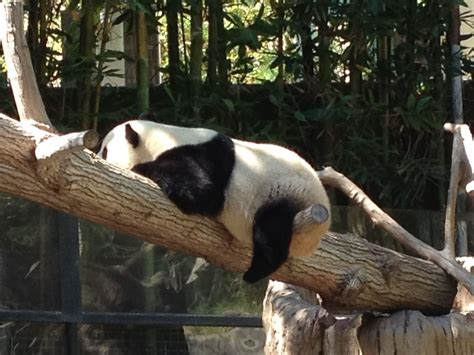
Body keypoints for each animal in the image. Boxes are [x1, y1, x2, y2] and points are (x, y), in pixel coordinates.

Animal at [98, 119, 332, 284]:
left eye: (106, 150)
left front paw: (140, 168)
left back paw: (255, 272)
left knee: (270, 231)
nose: (97, 155)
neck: (159, 138)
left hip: (285, 193)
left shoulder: (201, 156)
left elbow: (202, 192)